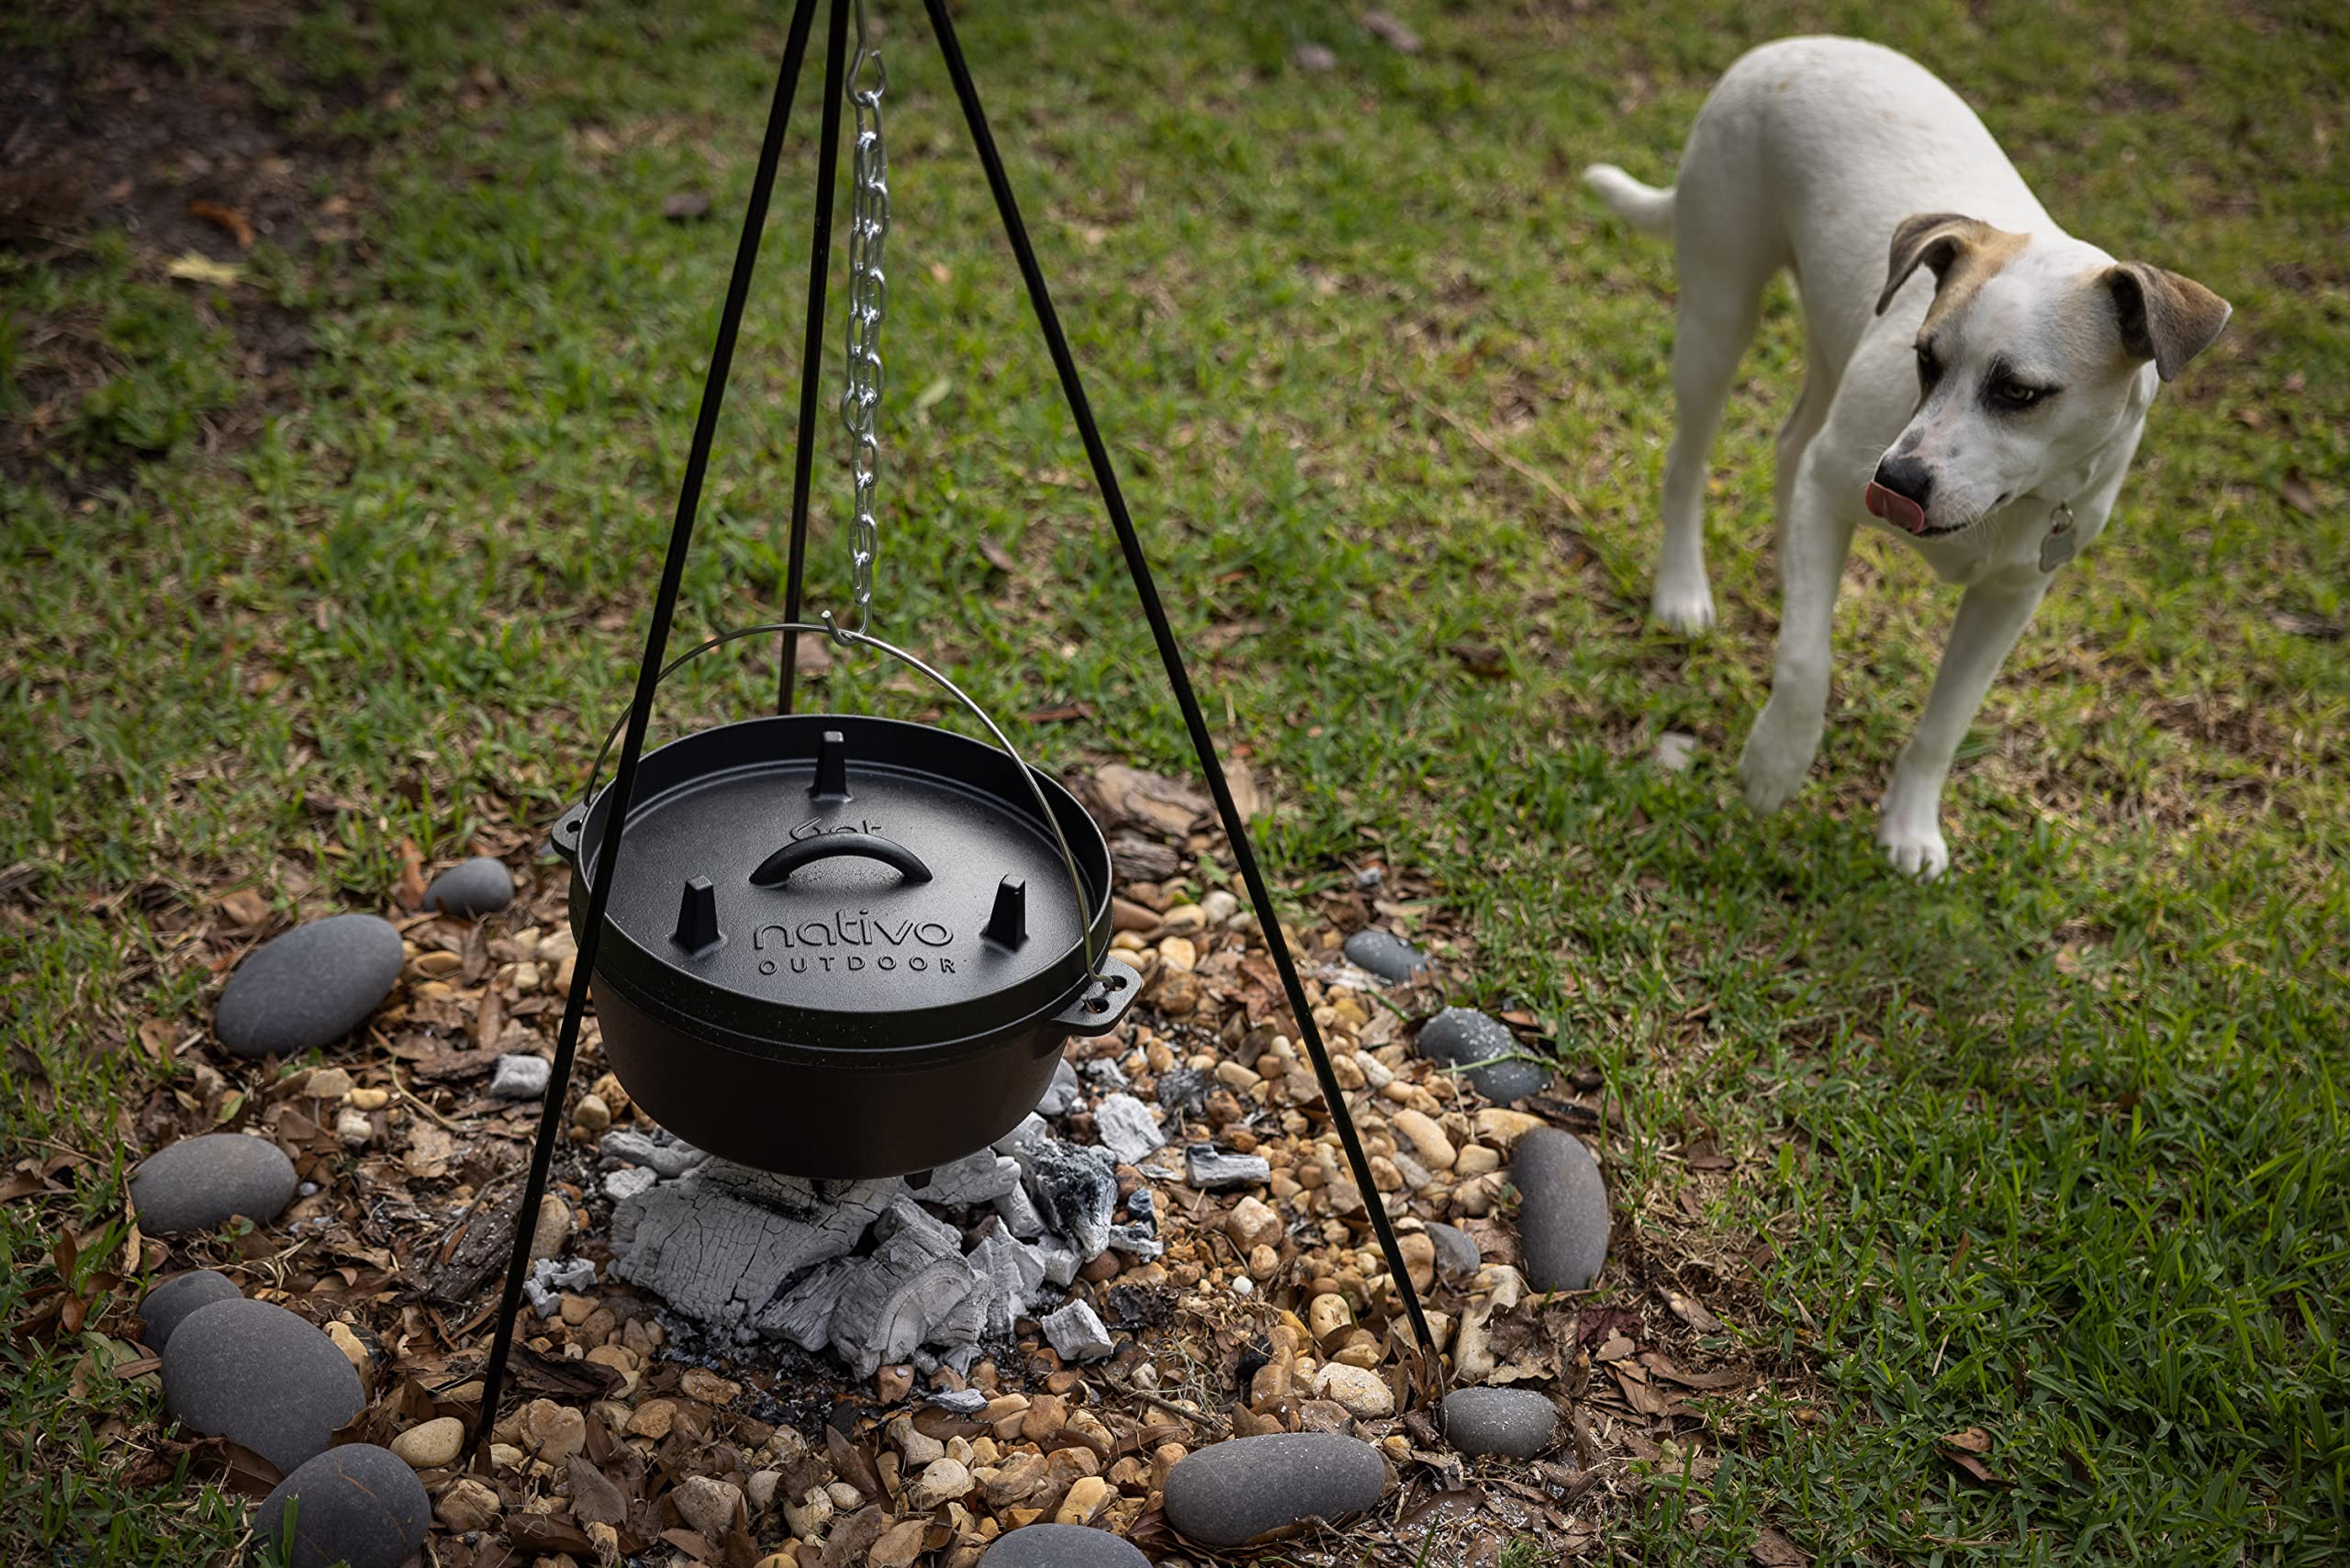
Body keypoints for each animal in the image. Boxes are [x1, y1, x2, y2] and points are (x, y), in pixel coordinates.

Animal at [1588, 37, 2227, 879]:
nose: (1894, 483)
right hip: (1719, 311)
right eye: (1927, 358)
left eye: (2020, 392)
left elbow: (1945, 724)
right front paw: (1776, 764)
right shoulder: (1841, 484)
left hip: (1826, 341)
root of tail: (1790, 46)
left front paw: (1910, 825)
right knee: (1687, 461)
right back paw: (1683, 589)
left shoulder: (2009, 597)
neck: (2009, 509)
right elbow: (1806, 663)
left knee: (1792, 447)